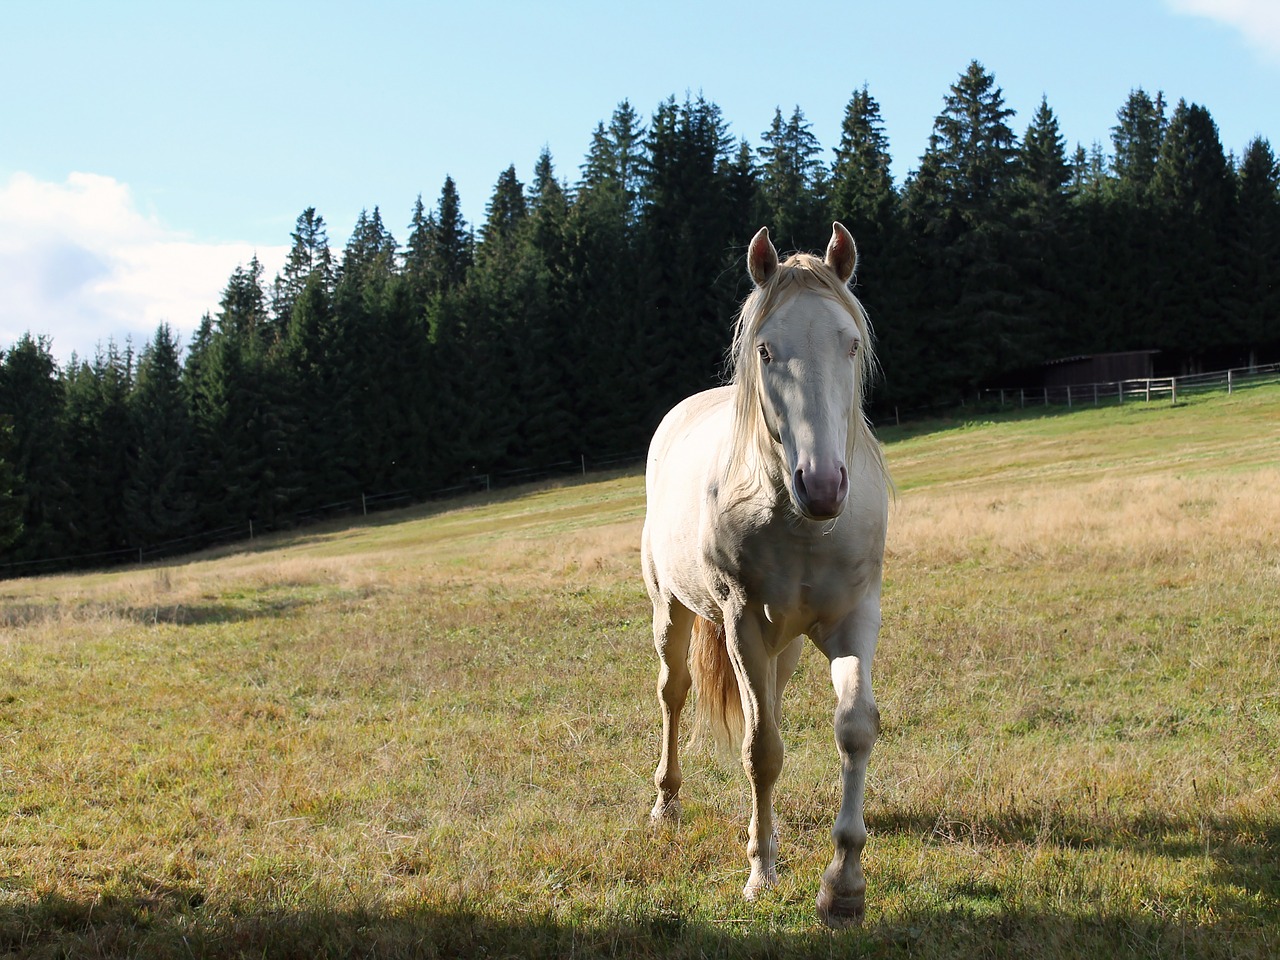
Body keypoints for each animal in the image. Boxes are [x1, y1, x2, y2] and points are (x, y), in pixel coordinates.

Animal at [640, 221, 890, 926]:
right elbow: (761, 750)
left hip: (786, 645)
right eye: (767, 351)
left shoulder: (854, 620)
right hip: (672, 611)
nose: (824, 485)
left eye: (850, 343)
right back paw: (666, 803)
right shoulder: (742, 625)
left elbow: (854, 729)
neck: (798, 523)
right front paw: (760, 871)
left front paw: (844, 884)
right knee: (674, 694)